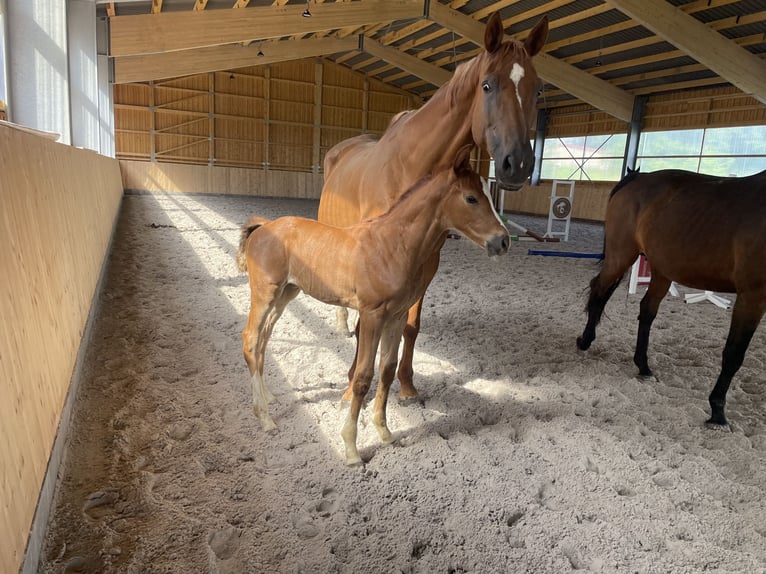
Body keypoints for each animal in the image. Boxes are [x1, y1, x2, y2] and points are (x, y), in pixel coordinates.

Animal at [238, 148, 510, 468]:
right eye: (471, 198)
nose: (503, 241)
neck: (392, 245)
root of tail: (264, 226)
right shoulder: (372, 314)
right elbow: (363, 377)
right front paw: (351, 448)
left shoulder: (396, 316)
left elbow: (387, 370)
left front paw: (385, 432)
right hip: (265, 294)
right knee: (251, 339)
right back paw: (265, 418)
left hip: (286, 294)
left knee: (264, 340)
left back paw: (269, 398)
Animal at [320, 12, 552, 400]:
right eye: (487, 85)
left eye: (536, 89)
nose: (517, 164)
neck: (412, 167)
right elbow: (365, 329)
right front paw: (352, 380)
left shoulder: (426, 261)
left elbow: (411, 326)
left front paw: (406, 384)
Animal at [580, 168, 764, 428]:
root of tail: (638, 176)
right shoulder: (752, 296)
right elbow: (734, 353)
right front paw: (717, 412)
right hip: (621, 256)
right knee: (598, 290)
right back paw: (585, 341)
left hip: (661, 270)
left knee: (646, 311)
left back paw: (643, 367)